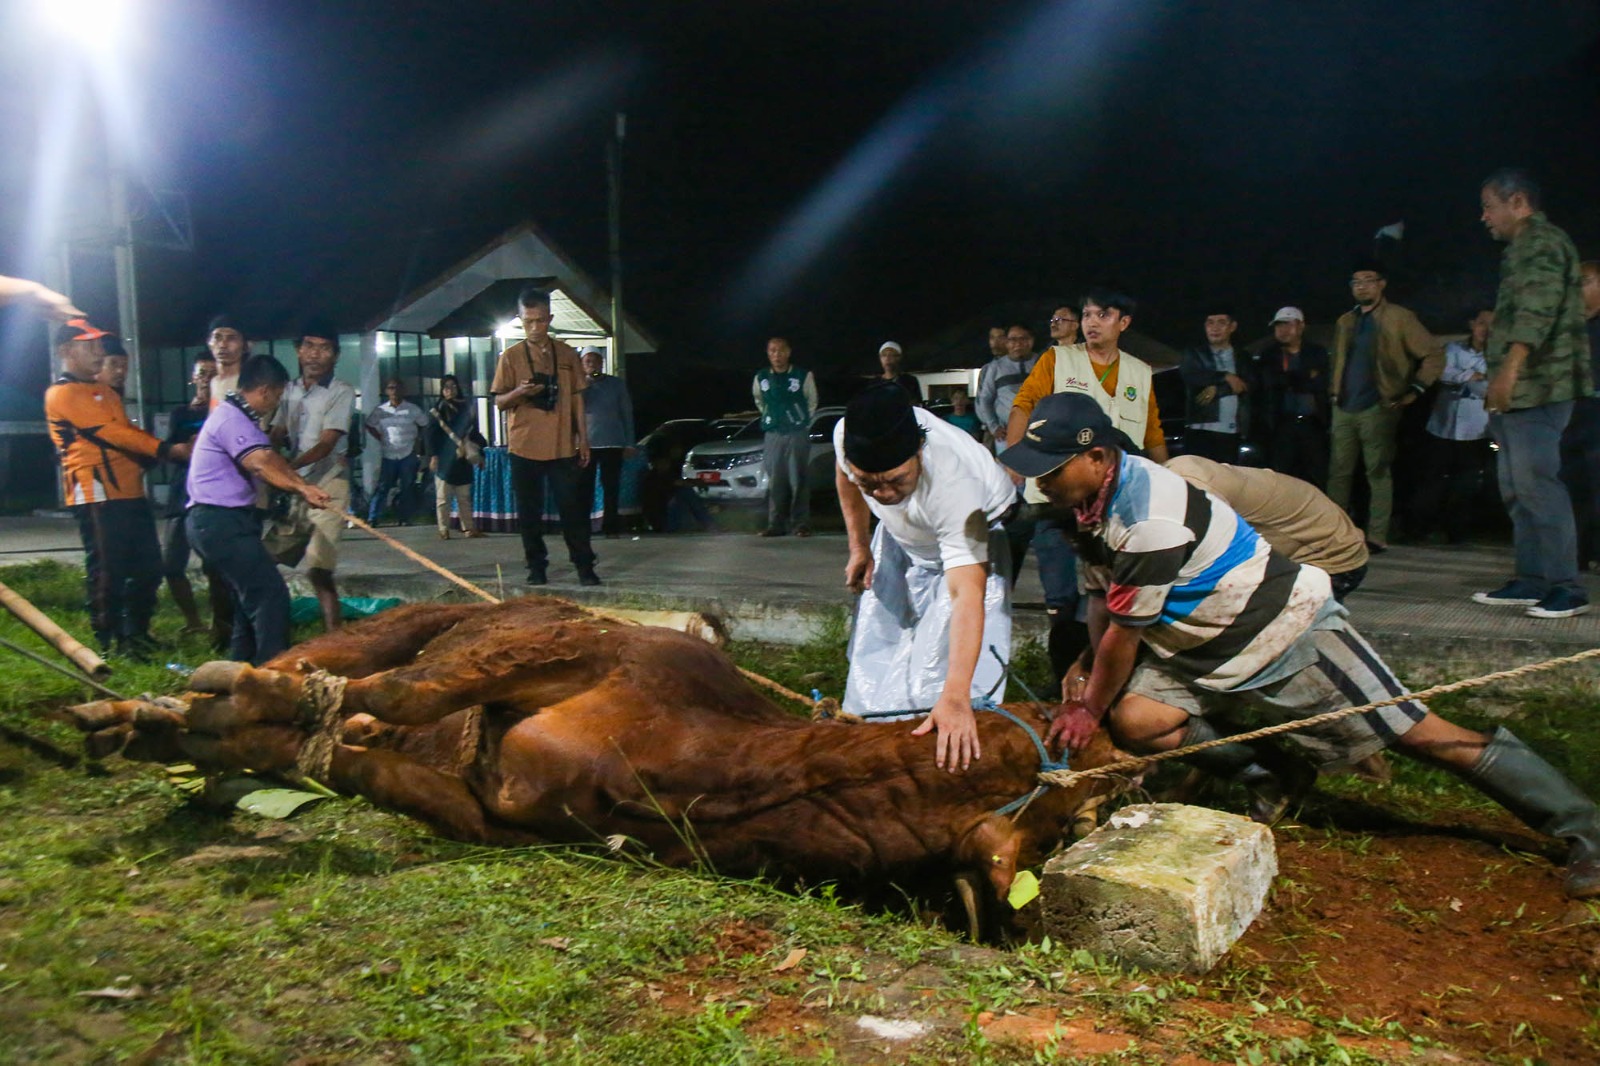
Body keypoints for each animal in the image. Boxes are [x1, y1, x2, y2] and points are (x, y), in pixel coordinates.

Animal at [62, 598, 1126, 915]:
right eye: (1087, 795)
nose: (1130, 766)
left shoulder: (481, 813)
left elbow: (344, 751)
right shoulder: (572, 645)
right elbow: (400, 694)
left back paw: (157, 730)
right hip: (410, 619)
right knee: (317, 661)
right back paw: (138, 702)